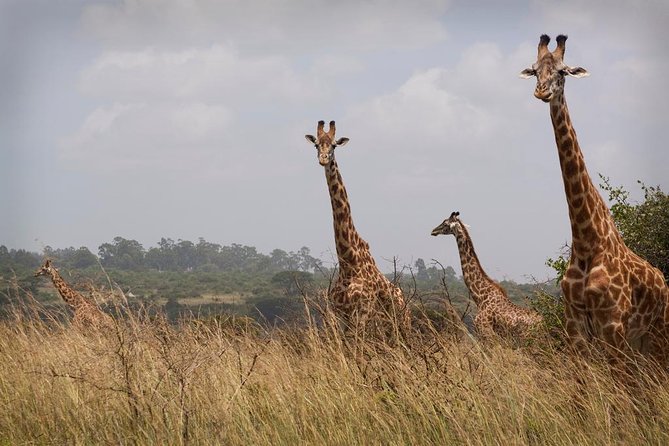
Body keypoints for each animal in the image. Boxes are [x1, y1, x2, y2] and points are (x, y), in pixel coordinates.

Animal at [306, 121, 410, 332]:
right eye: (316, 145)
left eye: (334, 146)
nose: (323, 159)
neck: (348, 262)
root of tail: (403, 299)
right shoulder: (339, 314)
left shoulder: (362, 313)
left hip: (403, 324)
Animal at [520, 34, 668, 362]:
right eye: (535, 71)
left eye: (562, 72)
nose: (541, 91)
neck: (587, 240)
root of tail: (663, 281)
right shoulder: (574, 324)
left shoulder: (612, 324)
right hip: (640, 344)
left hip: (658, 334)